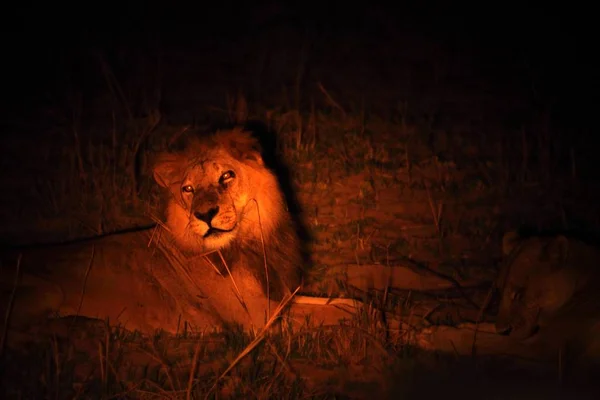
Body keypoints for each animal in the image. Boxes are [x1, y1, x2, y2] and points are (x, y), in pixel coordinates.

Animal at [0, 126, 304, 336]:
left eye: (227, 176)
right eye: (188, 189)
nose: (205, 215)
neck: (250, 239)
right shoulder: (256, 317)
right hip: (48, 291)